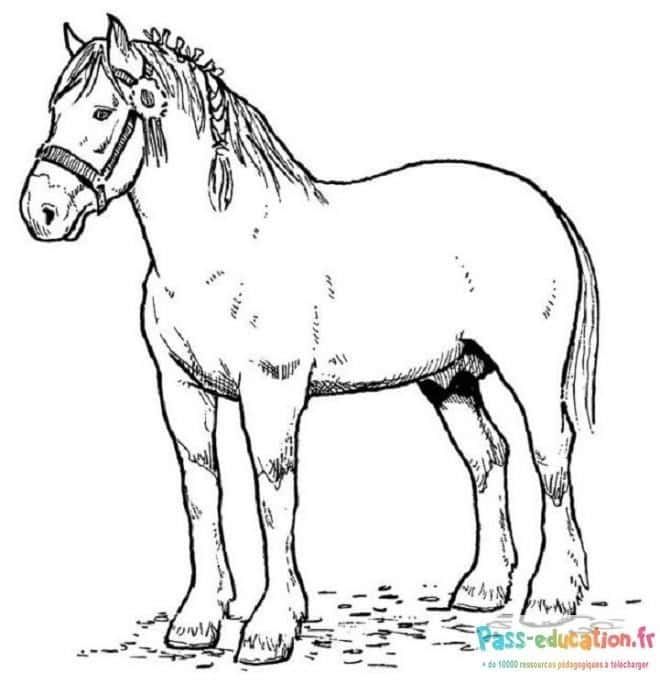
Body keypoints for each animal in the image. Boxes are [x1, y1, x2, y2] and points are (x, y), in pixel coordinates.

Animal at [20, 16, 599, 665]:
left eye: (101, 111)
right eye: (54, 108)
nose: (41, 210)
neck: (223, 245)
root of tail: (546, 208)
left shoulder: (271, 391)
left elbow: (273, 497)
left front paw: (271, 626)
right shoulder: (182, 390)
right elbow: (202, 493)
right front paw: (199, 619)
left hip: (532, 373)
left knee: (551, 456)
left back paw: (553, 594)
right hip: (448, 379)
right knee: (488, 456)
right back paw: (484, 587)